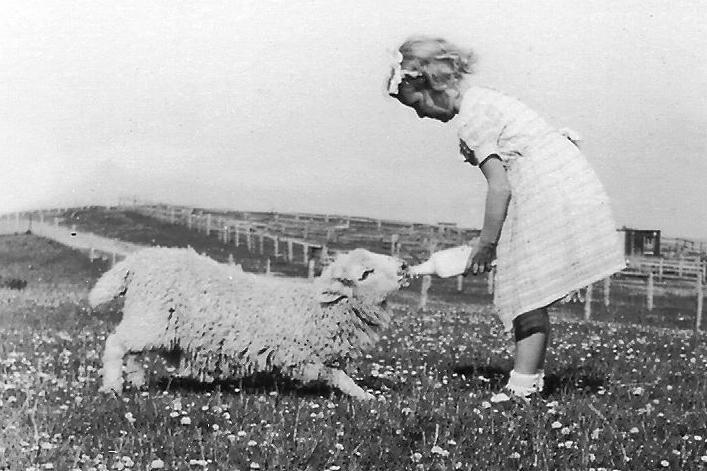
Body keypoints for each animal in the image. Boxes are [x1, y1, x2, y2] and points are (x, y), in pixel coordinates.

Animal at [88, 247, 410, 402]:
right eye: (366, 273)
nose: (405, 266)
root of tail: (137, 262)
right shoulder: (308, 357)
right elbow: (339, 377)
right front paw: (365, 397)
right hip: (150, 317)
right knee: (116, 345)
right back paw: (113, 387)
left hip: (149, 319)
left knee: (133, 352)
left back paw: (137, 382)